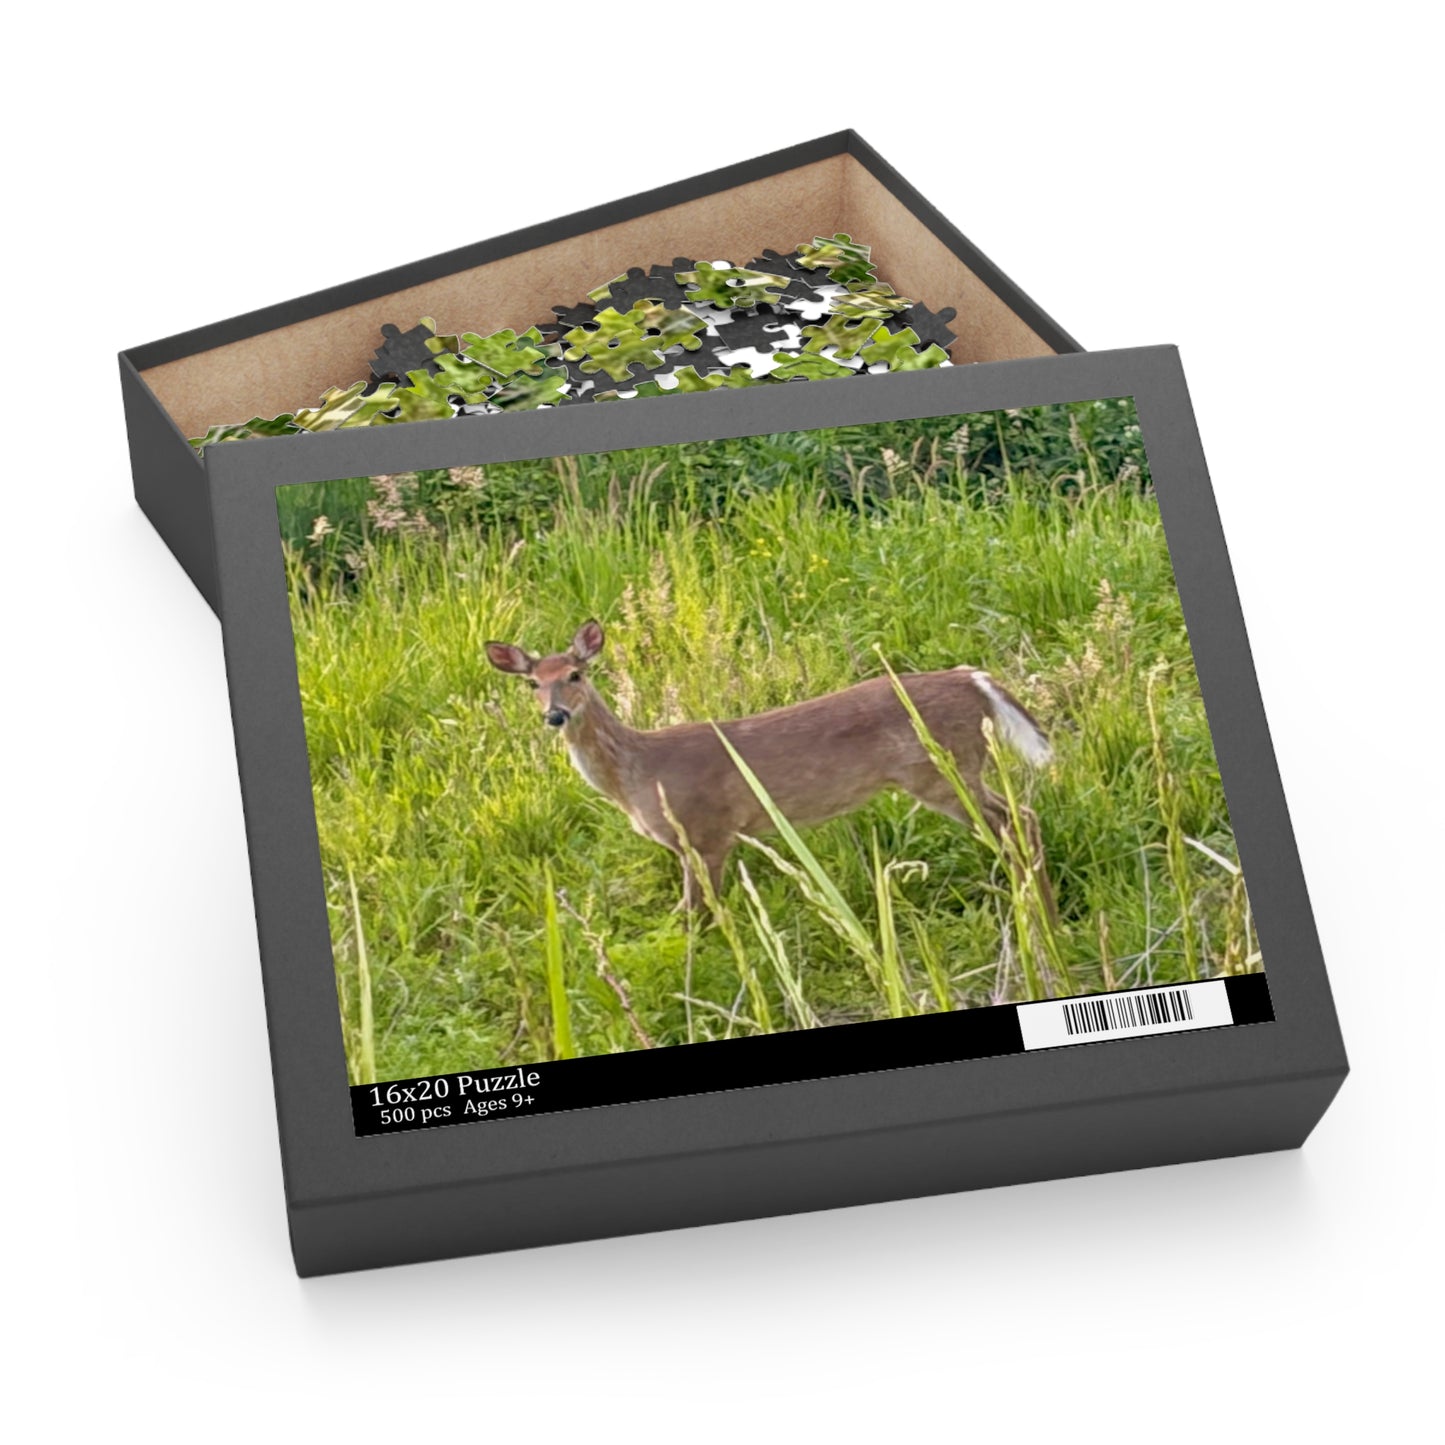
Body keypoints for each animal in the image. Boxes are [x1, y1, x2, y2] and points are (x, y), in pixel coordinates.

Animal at [486, 620, 1055, 916]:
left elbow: (697, 914)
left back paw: (1036, 912)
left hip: (944, 770)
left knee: (1017, 817)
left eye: (576, 674)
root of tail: (974, 679)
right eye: (532, 682)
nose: (555, 715)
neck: (638, 773)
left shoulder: (708, 832)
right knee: (1016, 818)